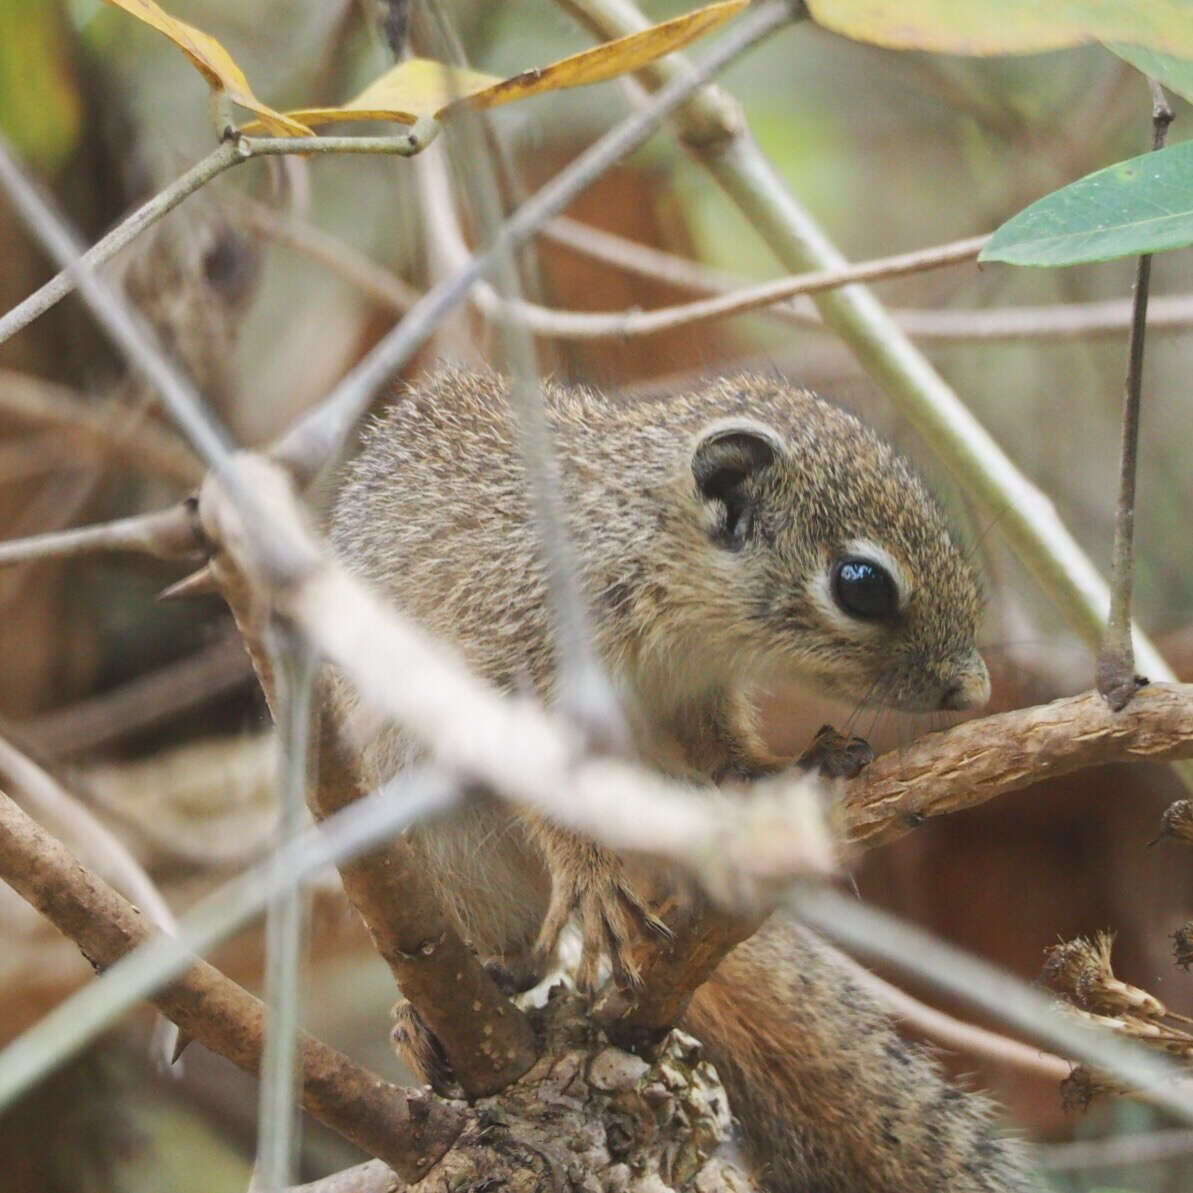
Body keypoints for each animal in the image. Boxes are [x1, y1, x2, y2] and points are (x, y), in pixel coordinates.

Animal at [331, 369, 1040, 1193]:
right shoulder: (516, 652)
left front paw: (779, 768)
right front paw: (590, 873)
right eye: (860, 583)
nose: (975, 688)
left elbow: (716, 744)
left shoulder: (694, 692)